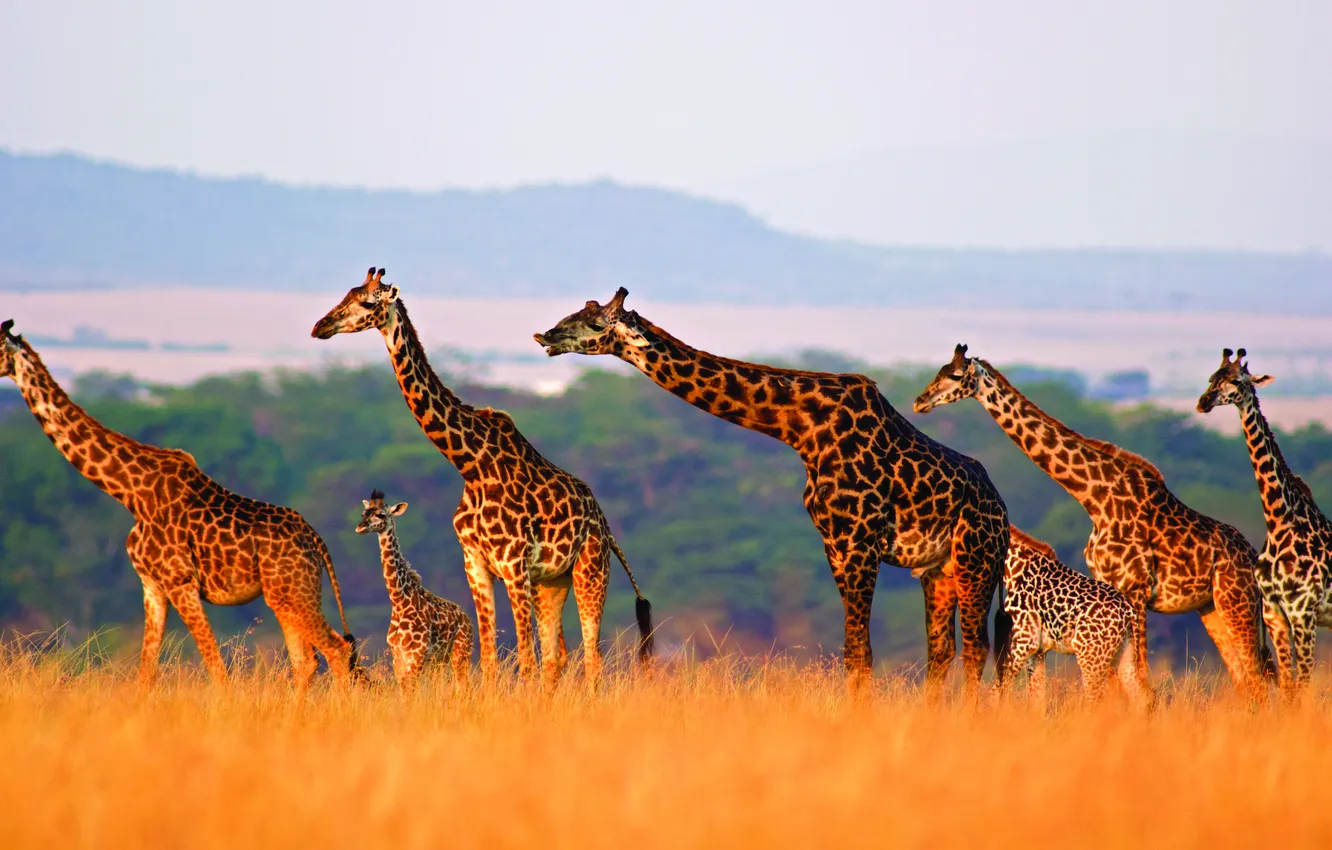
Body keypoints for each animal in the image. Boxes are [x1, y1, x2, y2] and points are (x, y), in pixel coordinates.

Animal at [0, 320, 358, 693]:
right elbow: (146, 672)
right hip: (287, 595)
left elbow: (216, 666)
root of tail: (317, 541)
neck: (130, 493)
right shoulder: (152, 585)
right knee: (307, 661)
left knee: (336, 649)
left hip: (293, 592)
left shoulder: (180, 581)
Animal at [356, 489, 474, 692]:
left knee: (464, 687)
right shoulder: (398, 656)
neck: (399, 601)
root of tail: (468, 620)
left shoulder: (417, 654)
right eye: (364, 513)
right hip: (439, 660)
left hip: (460, 653)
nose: (360, 527)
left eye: (381, 514)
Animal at [533, 288, 1010, 694]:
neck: (803, 428)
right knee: (942, 651)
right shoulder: (834, 543)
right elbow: (853, 652)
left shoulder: (860, 541)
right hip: (938, 571)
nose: (545, 336)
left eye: (596, 323)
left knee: (976, 648)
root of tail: (1002, 511)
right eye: (574, 313)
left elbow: (861, 652)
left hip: (976, 559)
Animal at [917, 526, 1153, 710]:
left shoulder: (1022, 644)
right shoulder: (1037, 652)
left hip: (1091, 657)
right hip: (1123, 654)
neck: (1012, 569)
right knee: (1141, 698)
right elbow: (1037, 700)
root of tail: (1128, 611)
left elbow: (995, 695)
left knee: (1098, 702)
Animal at [1197, 348, 1332, 693]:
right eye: (1212, 378)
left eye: (1236, 380)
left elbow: (1302, 686)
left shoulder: (1303, 613)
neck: (1280, 521)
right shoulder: (1274, 614)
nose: (1203, 402)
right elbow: (1288, 687)